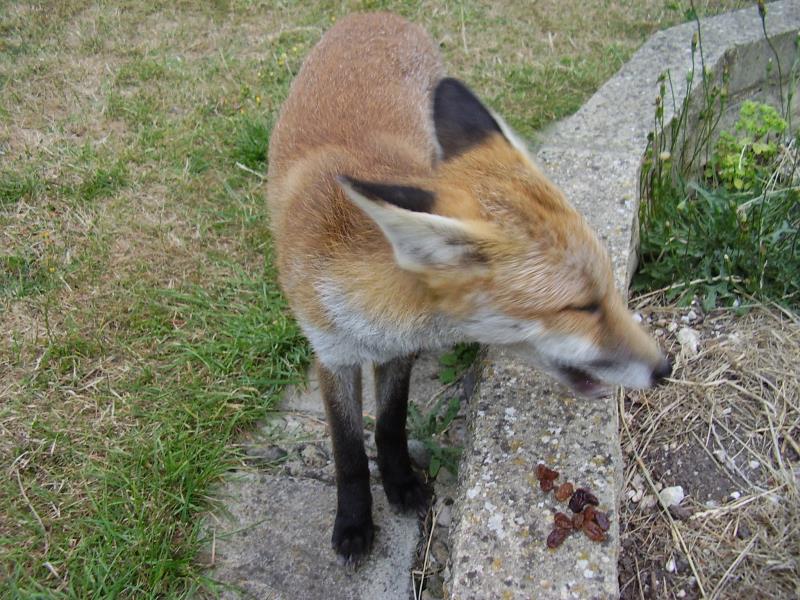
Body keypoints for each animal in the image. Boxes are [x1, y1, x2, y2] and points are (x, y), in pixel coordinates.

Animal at [266, 12, 671, 565]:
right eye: (581, 306)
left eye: (609, 289)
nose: (665, 369)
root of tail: (374, 14)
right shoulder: (332, 354)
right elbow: (347, 449)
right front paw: (353, 521)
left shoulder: (399, 352)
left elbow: (389, 423)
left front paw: (400, 483)